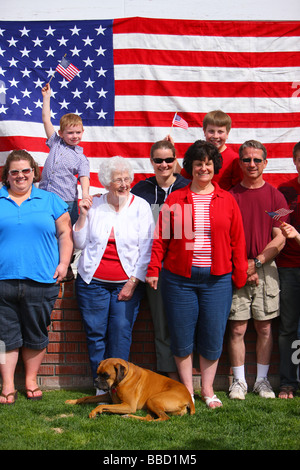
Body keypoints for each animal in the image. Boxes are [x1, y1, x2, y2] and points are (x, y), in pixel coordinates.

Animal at [65, 358, 195, 420]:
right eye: (97, 373)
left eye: (106, 375)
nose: (95, 381)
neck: (123, 379)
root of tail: (188, 396)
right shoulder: (109, 396)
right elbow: (87, 397)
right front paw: (72, 401)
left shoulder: (128, 405)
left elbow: (102, 405)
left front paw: (94, 412)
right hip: (150, 406)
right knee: (149, 418)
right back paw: (127, 416)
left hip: (152, 400)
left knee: (164, 418)